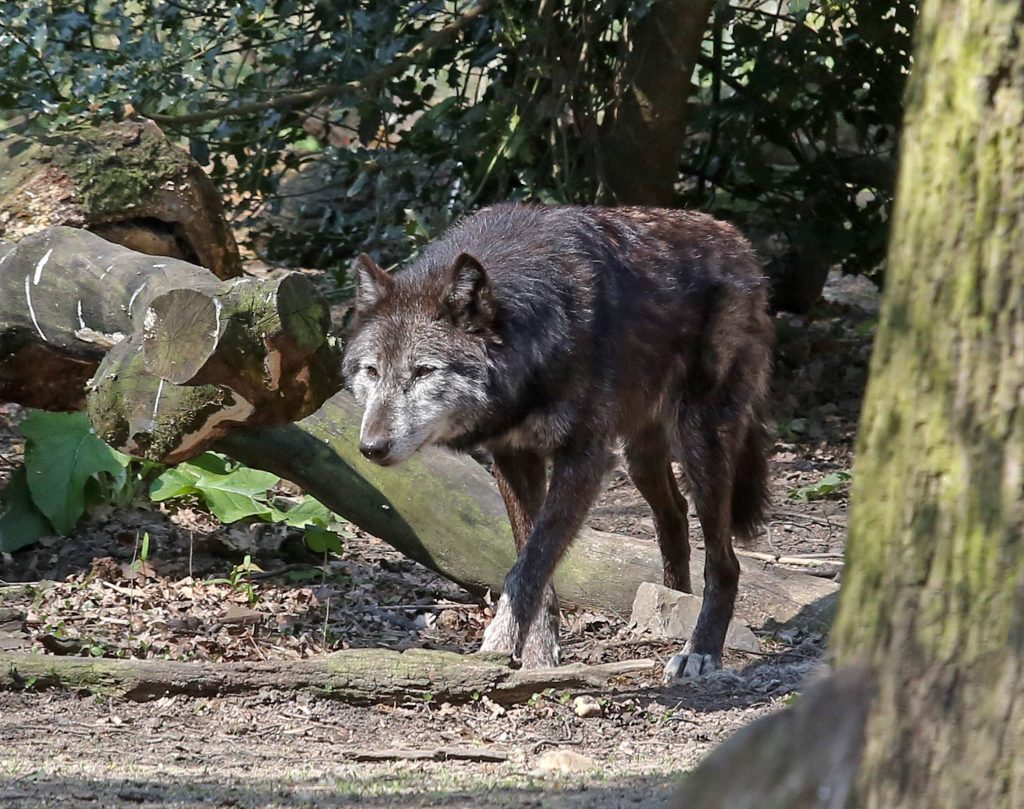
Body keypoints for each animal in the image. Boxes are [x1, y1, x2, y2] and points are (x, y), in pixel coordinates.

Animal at [339, 199, 770, 679]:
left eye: (423, 372)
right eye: (372, 371)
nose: (371, 447)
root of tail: (737, 240)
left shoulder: (584, 459)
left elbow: (531, 563)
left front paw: (500, 640)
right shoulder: (513, 455)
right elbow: (532, 559)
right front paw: (539, 658)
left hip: (700, 444)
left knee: (725, 561)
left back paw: (700, 650)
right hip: (639, 456)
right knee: (674, 515)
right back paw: (671, 606)